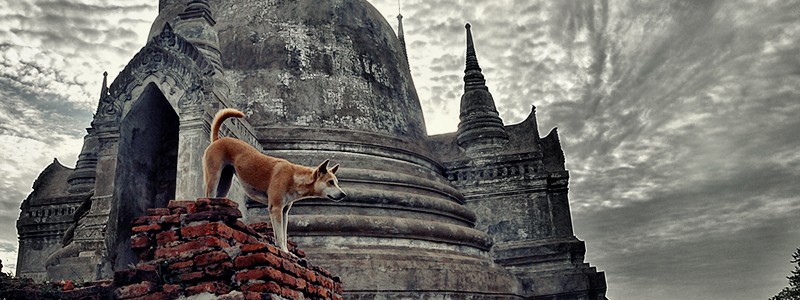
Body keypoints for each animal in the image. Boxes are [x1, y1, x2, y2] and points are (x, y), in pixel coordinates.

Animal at [202, 108, 346, 253]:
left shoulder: (284, 211)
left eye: (336, 182)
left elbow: (282, 233)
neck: (293, 177)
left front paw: (286, 251)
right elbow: (281, 235)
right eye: (330, 182)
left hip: (225, 182)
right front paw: (284, 250)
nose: (344, 194)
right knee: (208, 195)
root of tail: (217, 140)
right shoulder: (276, 208)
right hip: (214, 177)